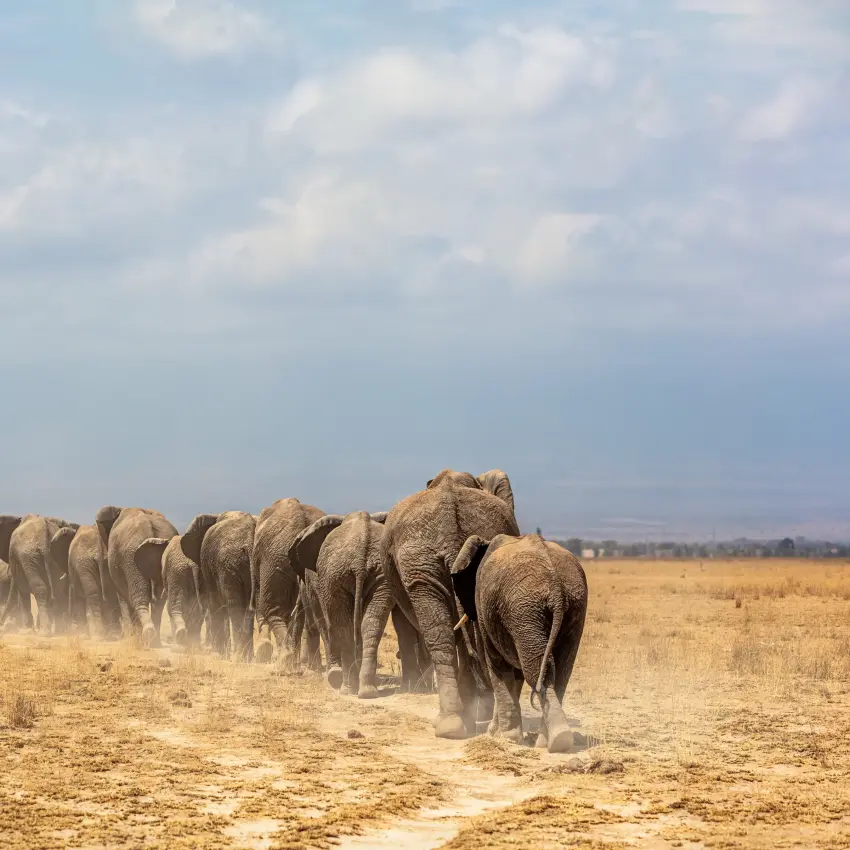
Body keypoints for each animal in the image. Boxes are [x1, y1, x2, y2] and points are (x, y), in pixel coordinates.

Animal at [96, 506, 178, 647]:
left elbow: (124, 598)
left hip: (130, 556)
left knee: (138, 596)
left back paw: (146, 636)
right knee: (158, 601)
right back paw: (154, 642)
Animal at [179, 511, 256, 661]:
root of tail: (249, 543)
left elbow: (214, 601)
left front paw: (219, 653)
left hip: (228, 564)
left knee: (234, 605)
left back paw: (238, 656)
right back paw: (246, 658)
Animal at [289, 511, 395, 697]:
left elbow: (324, 621)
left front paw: (333, 674)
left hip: (335, 575)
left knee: (341, 625)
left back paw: (345, 687)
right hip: (379, 575)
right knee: (371, 623)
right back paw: (367, 691)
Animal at [380, 469, 519, 739]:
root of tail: (450, 529)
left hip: (418, 563)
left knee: (442, 636)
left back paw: (452, 722)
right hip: (425, 563)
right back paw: (460, 720)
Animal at [450, 533, 588, 753]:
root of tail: (556, 587)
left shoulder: (485, 607)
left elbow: (496, 665)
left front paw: (504, 737)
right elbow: (514, 675)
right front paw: (501, 734)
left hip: (524, 610)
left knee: (538, 671)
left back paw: (553, 740)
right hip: (571, 606)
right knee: (560, 672)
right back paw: (556, 740)